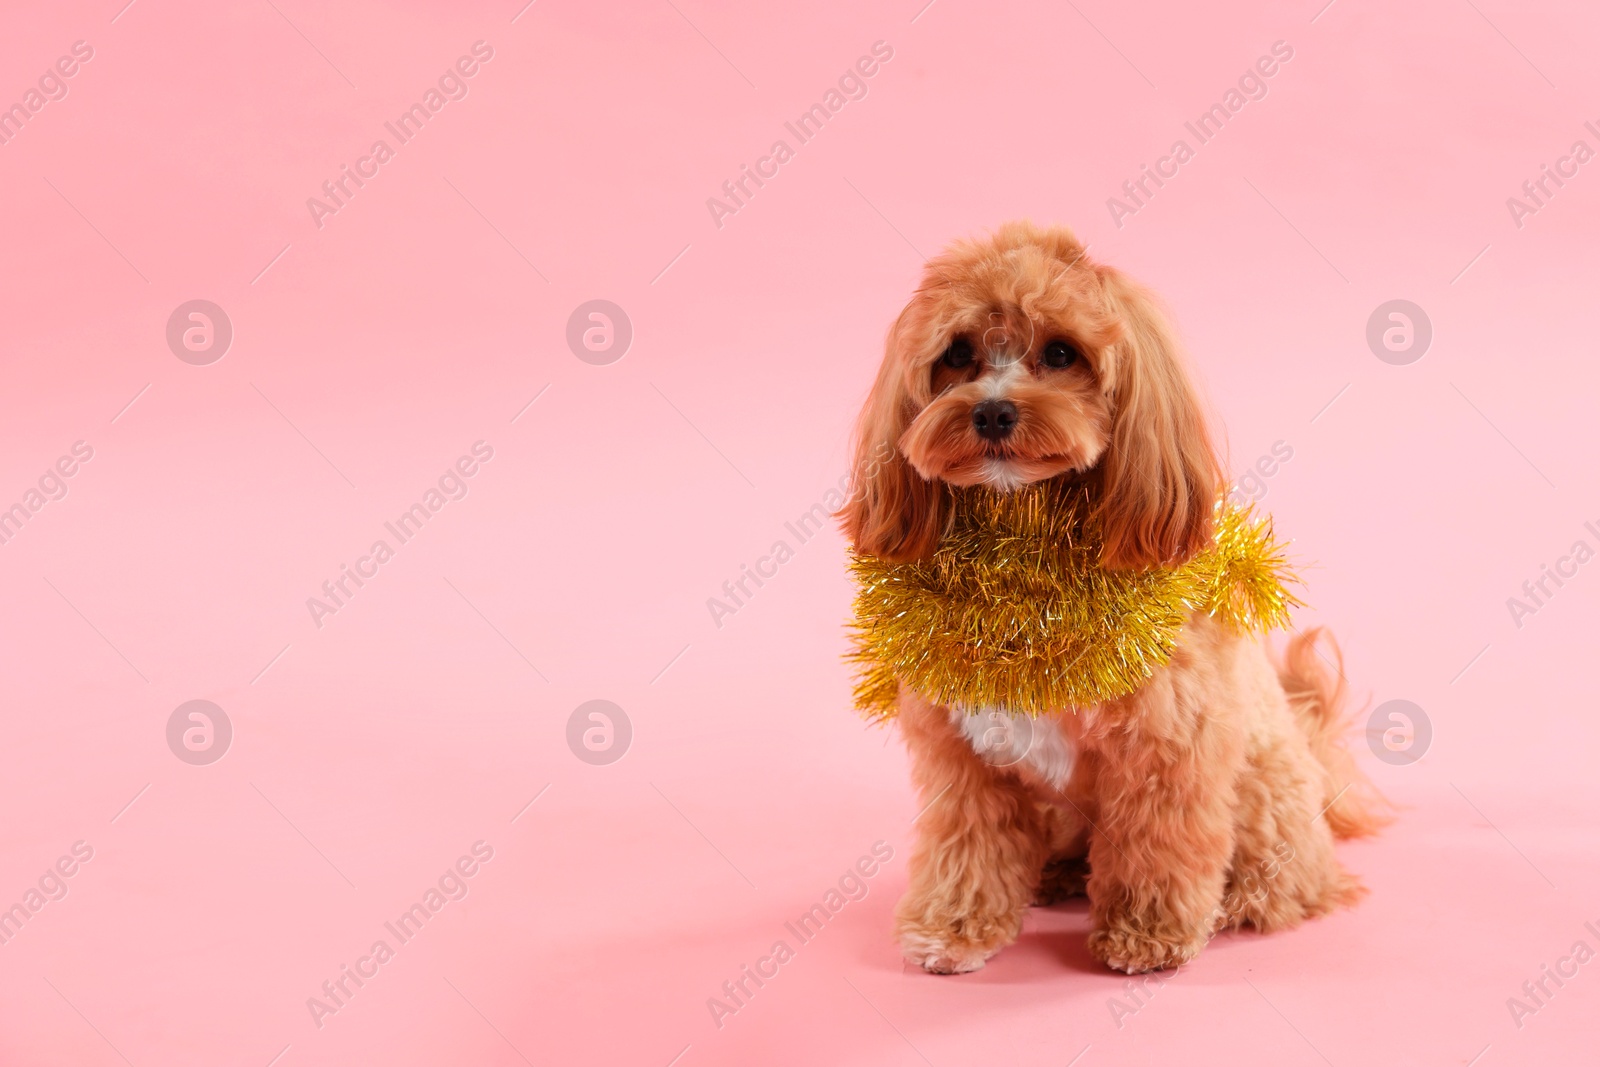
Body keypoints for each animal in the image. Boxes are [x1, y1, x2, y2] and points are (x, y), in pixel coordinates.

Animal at [844, 223, 1382, 979]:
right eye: (957, 353)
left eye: (1060, 352)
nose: (992, 410)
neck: (1024, 564)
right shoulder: (963, 758)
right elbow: (968, 844)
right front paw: (955, 925)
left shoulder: (1168, 745)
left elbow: (1158, 846)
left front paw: (1148, 933)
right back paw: (1058, 872)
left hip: (1263, 792)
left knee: (1287, 877)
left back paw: (1240, 900)